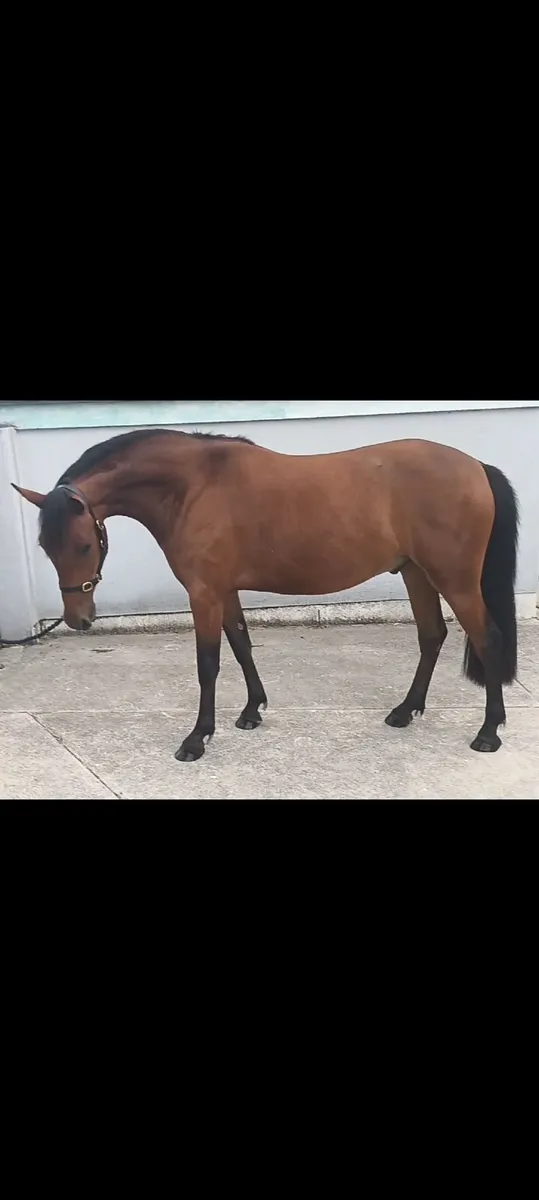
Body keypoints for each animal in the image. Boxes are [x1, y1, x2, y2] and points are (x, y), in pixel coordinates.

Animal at [12, 427, 519, 762]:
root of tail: (476, 467)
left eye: (83, 545)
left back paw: (488, 732)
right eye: (45, 547)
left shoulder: (204, 593)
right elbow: (241, 644)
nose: (78, 619)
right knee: (432, 636)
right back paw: (405, 711)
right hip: (416, 573)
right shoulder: (224, 589)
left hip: (454, 579)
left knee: (487, 638)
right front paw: (252, 711)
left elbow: (209, 663)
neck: (193, 486)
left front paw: (197, 738)